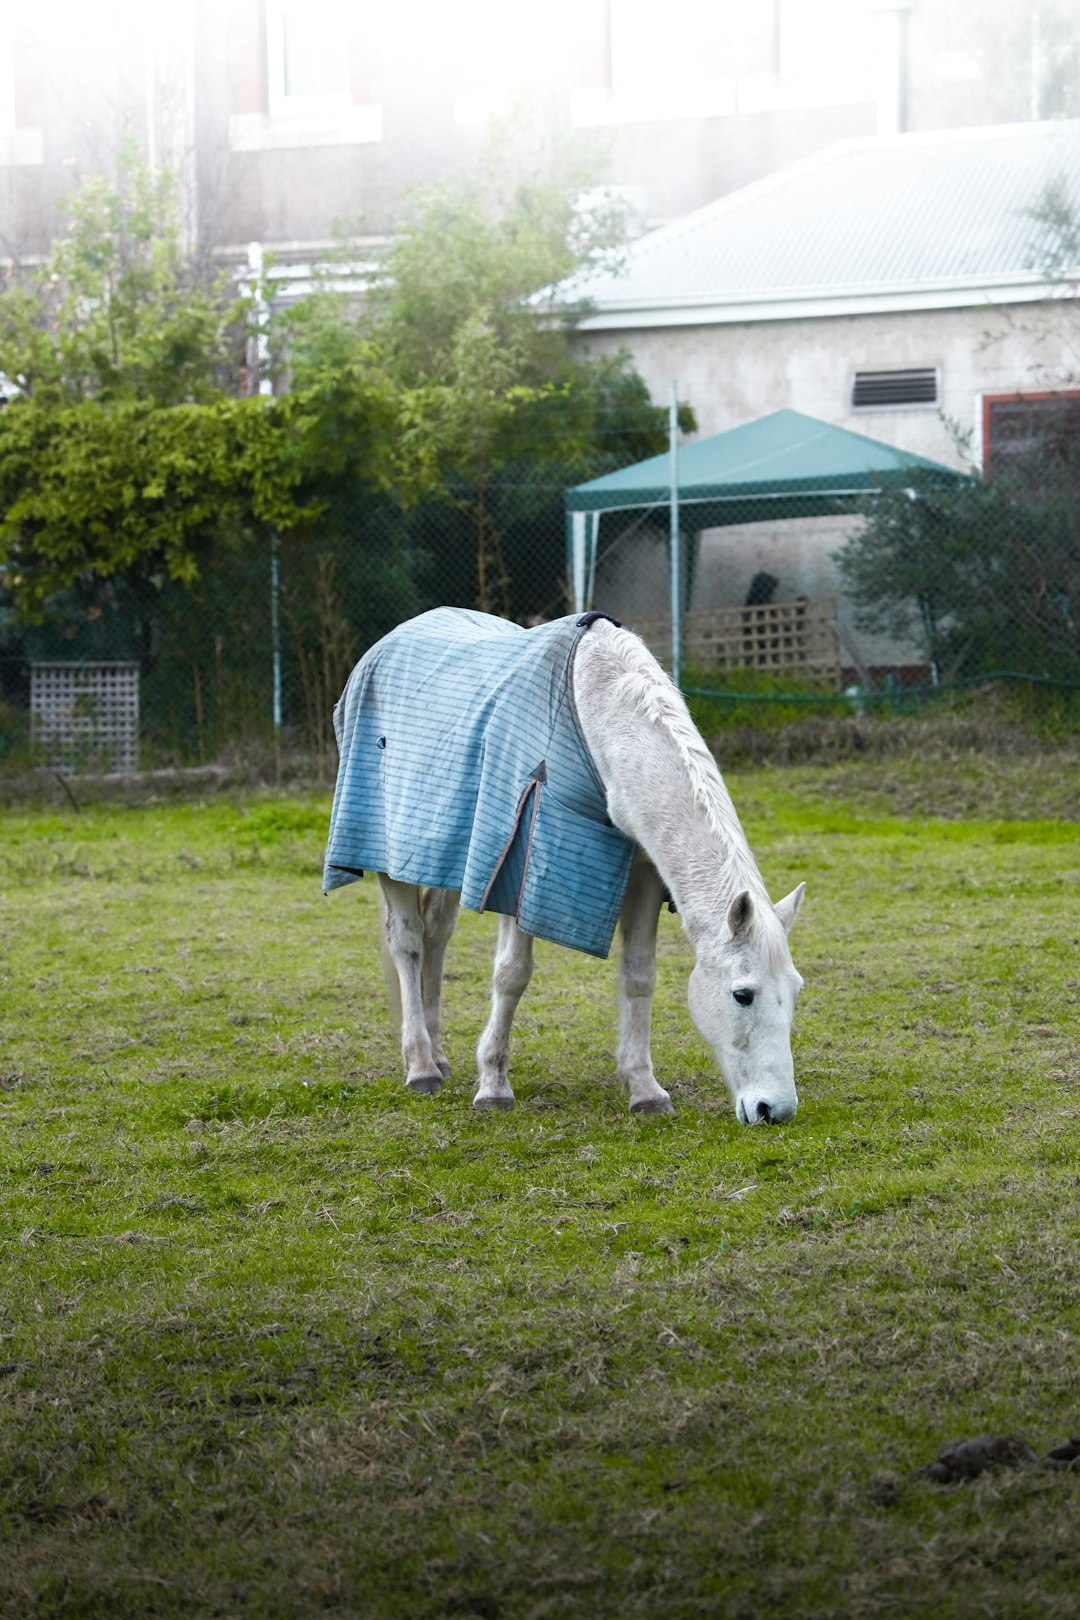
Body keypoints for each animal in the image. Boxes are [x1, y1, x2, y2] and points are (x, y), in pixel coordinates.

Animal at [325, 609, 806, 1127]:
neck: (600, 718)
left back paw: (437, 1054)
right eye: (742, 994)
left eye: (796, 990)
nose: (774, 1110)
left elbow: (639, 976)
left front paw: (644, 1089)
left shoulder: (641, 873)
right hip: (387, 856)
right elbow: (512, 974)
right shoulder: (524, 867)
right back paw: (420, 1066)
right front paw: (493, 1086)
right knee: (409, 943)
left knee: (436, 935)